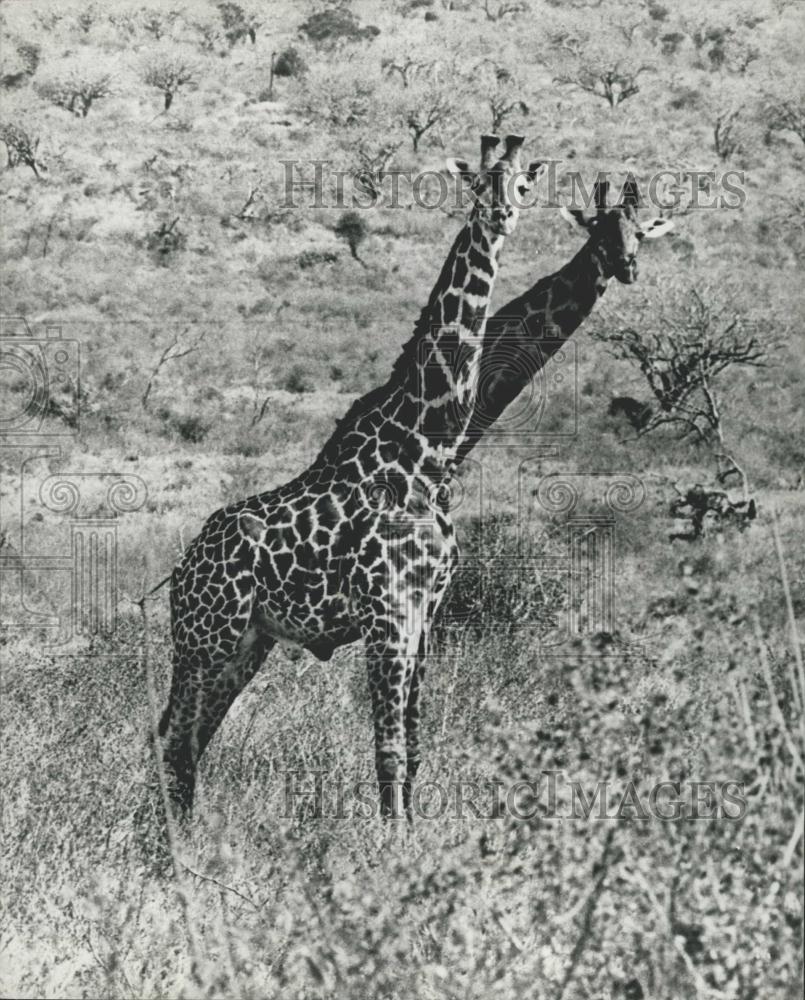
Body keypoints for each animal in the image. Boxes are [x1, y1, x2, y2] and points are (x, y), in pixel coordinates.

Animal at [159, 134, 544, 821]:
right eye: (477, 186)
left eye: (521, 186)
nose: (500, 216)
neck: (427, 448)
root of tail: (183, 567)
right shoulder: (387, 613)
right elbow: (388, 751)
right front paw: (387, 844)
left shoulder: (427, 614)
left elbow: (414, 750)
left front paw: (412, 837)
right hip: (206, 635)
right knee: (173, 737)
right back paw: (170, 844)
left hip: (247, 643)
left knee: (188, 739)